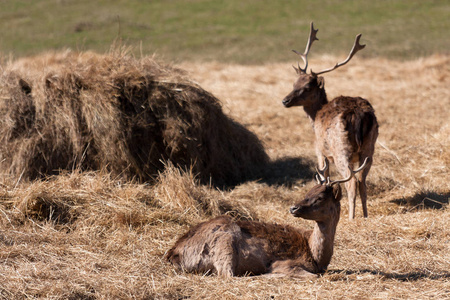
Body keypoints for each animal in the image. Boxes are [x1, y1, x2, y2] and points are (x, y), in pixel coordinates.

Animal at [165, 158, 370, 278]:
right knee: (228, 275)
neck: (317, 258)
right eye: (308, 192)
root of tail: (174, 253)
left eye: (319, 197)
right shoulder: (287, 262)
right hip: (224, 242)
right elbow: (312, 275)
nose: (293, 207)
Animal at [284, 21, 378, 218]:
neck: (314, 119)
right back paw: (365, 216)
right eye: (294, 83)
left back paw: (351, 218)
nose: (285, 100)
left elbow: (324, 176)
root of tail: (358, 114)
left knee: (351, 183)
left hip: (341, 148)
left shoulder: (319, 151)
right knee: (362, 182)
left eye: (306, 87)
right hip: (369, 147)